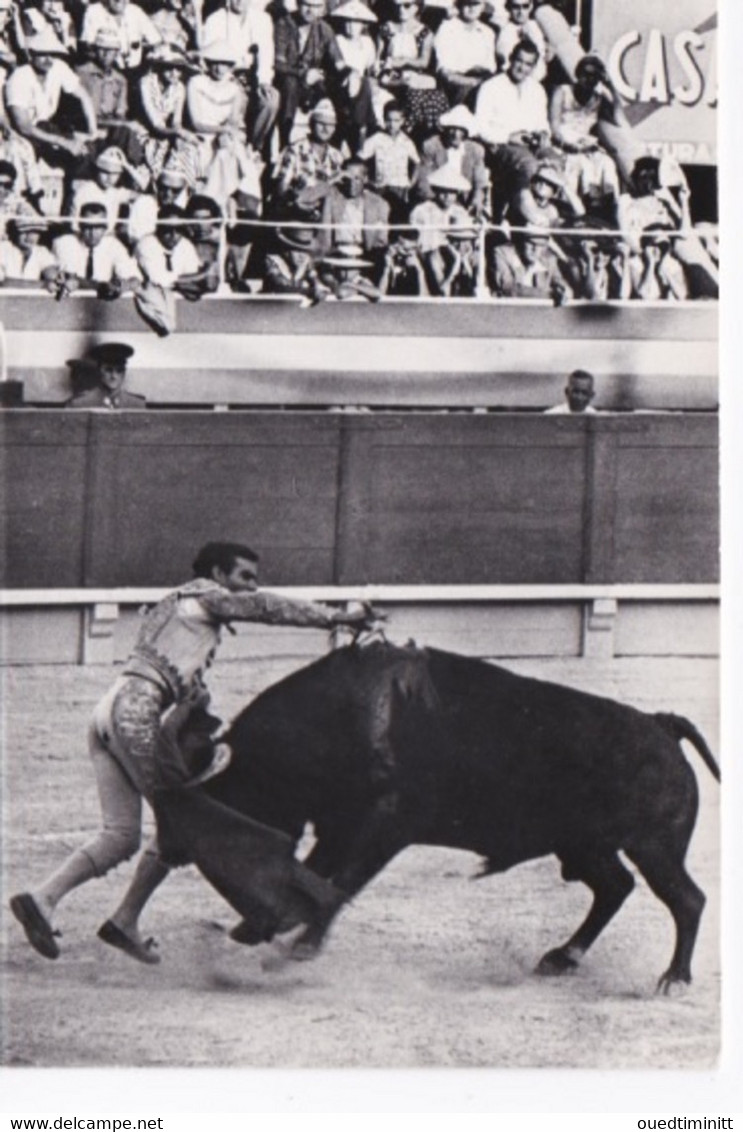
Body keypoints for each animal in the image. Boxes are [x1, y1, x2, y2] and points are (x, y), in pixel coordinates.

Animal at [169, 642, 720, 996]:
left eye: (230, 794)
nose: (177, 851)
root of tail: (661, 725)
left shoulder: (384, 828)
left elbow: (338, 883)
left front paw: (296, 947)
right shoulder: (338, 827)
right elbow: (314, 875)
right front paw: (257, 930)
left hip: (654, 848)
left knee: (685, 899)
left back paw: (673, 979)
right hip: (585, 847)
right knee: (615, 887)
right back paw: (562, 957)